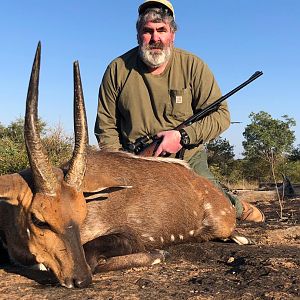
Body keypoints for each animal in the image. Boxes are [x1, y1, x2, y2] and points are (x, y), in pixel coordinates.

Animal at [0, 42, 237, 288]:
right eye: (38, 220)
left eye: (82, 212)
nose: (80, 279)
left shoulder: (131, 235)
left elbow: (93, 257)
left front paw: (159, 254)